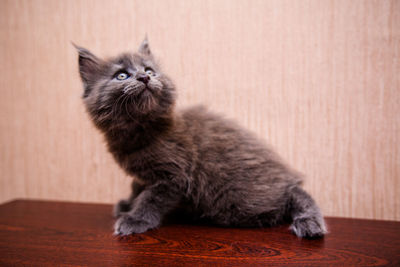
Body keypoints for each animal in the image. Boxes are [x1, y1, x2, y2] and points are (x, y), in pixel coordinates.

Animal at [76, 39, 326, 239]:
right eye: (121, 75)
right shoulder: (147, 174)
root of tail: (287, 176)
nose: (144, 77)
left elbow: (151, 198)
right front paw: (128, 204)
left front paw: (135, 219)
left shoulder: (174, 175)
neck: (139, 132)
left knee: (294, 194)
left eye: (149, 70)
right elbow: (138, 186)